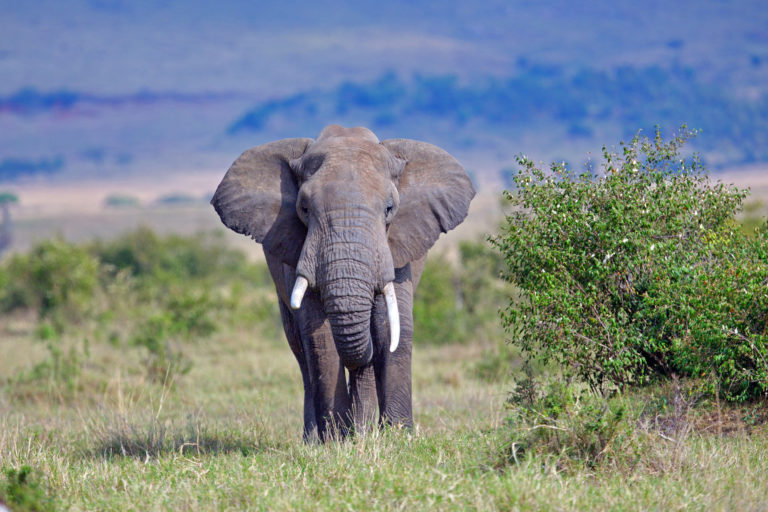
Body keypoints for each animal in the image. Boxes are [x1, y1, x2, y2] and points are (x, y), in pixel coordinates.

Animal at [211, 124, 475, 442]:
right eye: (304, 209)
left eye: (389, 208)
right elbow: (319, 334)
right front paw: (335, 441)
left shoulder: (398, 249)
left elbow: (390, 326)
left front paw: (399, 437)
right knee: (299, 348)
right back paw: (322, 438)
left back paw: (361, 433)